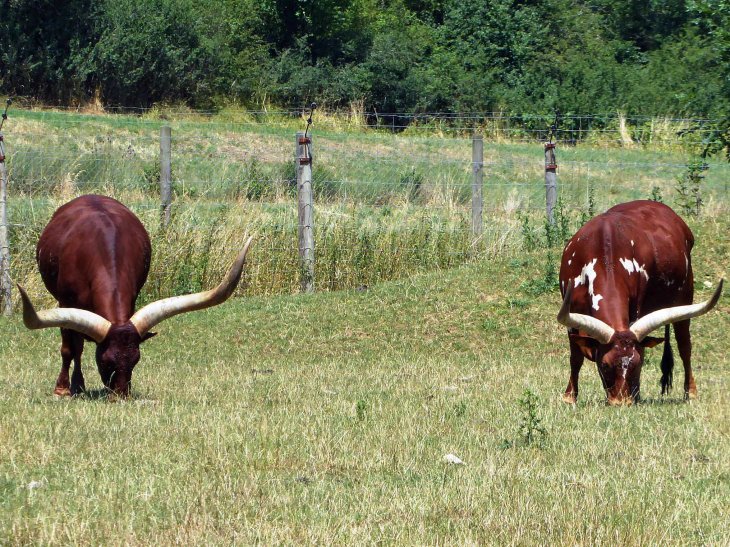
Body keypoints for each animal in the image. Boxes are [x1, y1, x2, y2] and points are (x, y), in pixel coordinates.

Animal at [19, 195, 253, 396]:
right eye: (105, 361)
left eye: (136, 360)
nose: (121, 395)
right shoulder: (65, 302)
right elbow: (70, 348)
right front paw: (62, 389)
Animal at [556, 201, 720, 406]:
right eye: (605, 364)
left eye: (638, 363)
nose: (621, 402)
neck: (604, 253)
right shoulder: (571, 314)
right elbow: (576, 357)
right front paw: (569, 397)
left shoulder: (635, 311)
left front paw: (635, 394)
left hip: (685, 297)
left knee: (685, 346)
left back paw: (691, 392)